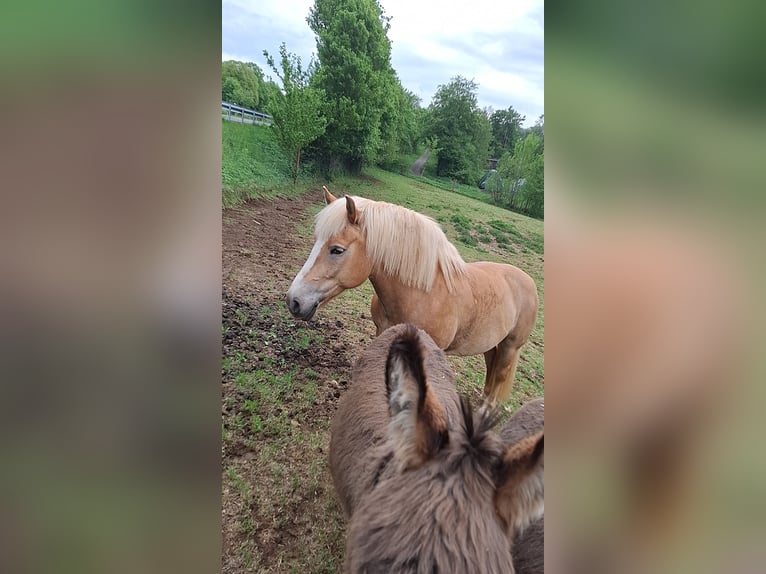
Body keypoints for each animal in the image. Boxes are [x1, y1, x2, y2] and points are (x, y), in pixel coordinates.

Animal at [286, 187, 539, 404]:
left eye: (337, 250)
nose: (294, 301)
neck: (422, 294)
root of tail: (529, 281)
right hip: (491, 344)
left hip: (510, 347)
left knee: (499, 378)